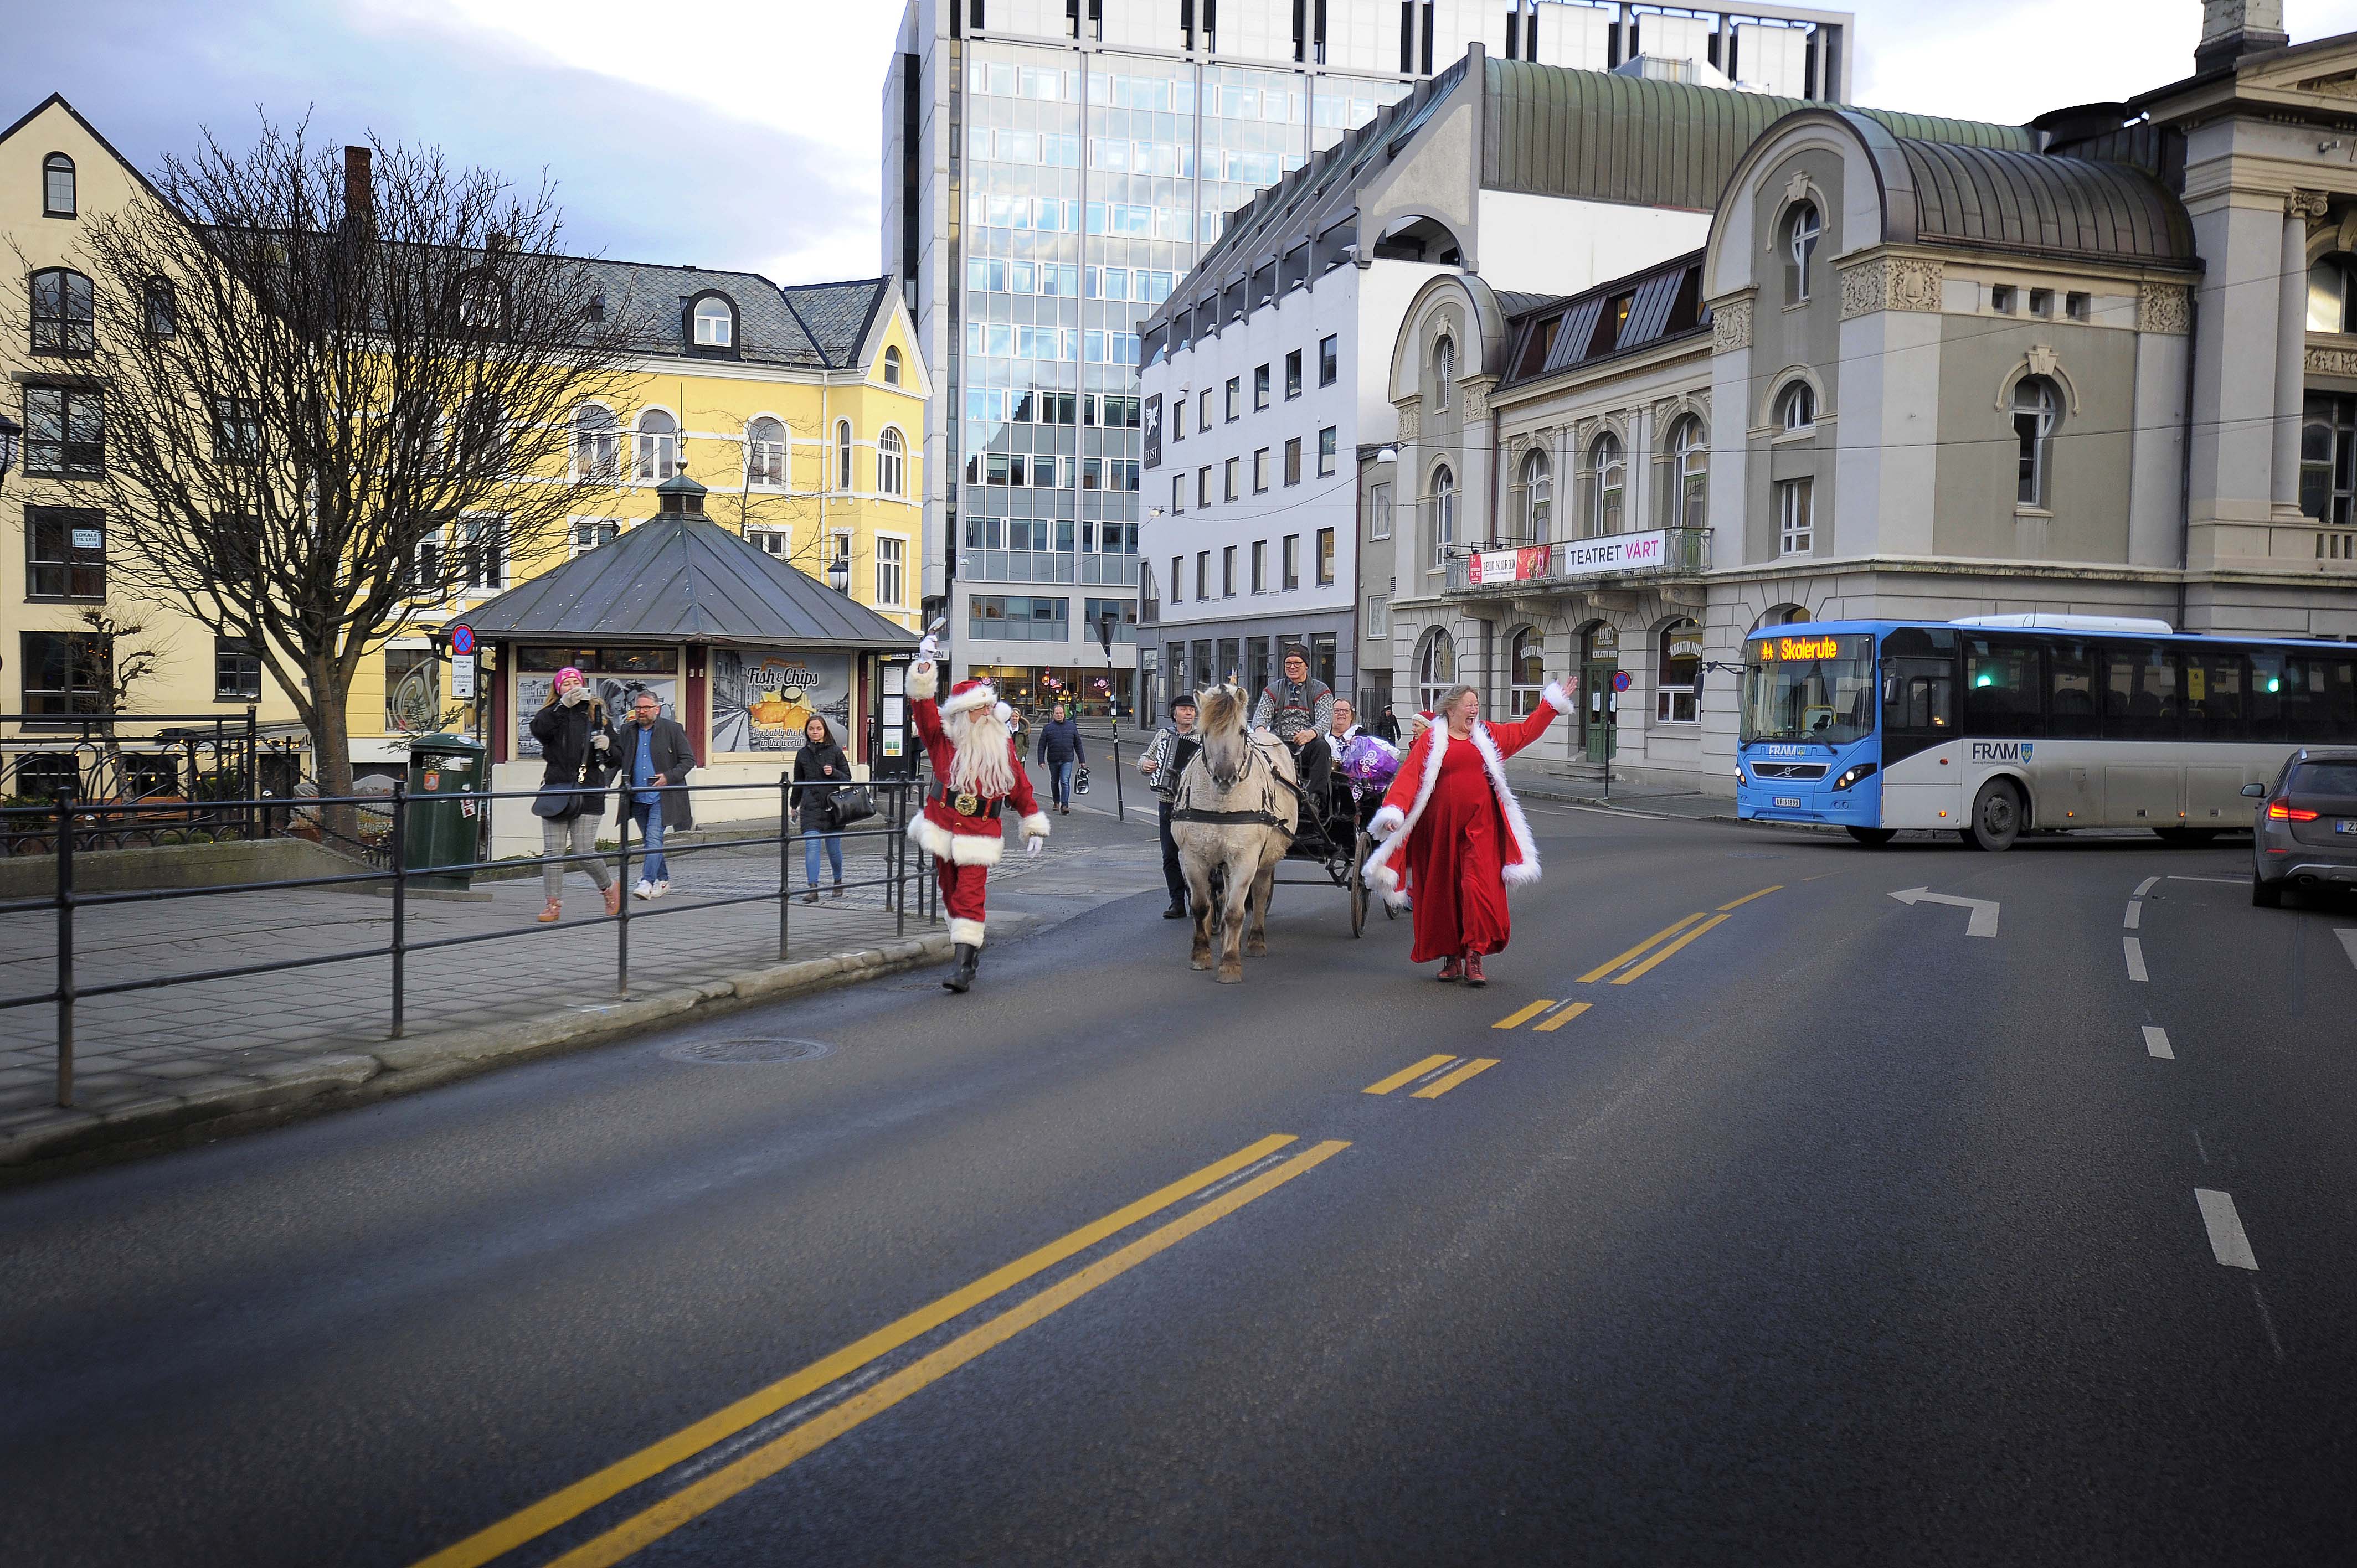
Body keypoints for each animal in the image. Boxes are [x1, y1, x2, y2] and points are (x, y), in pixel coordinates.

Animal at [1169, 684, 1301, 981]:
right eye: (1204, 732)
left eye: (1241, 731)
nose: (1225, 777)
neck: (1221, 805)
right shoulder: (1193, 858)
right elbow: (1201, 907)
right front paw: (1201, 955)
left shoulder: (1246, 858)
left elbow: (1235, 912)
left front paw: (1230, 963)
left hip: (1265, 859)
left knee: (1260, 894)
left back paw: (1255, 942)